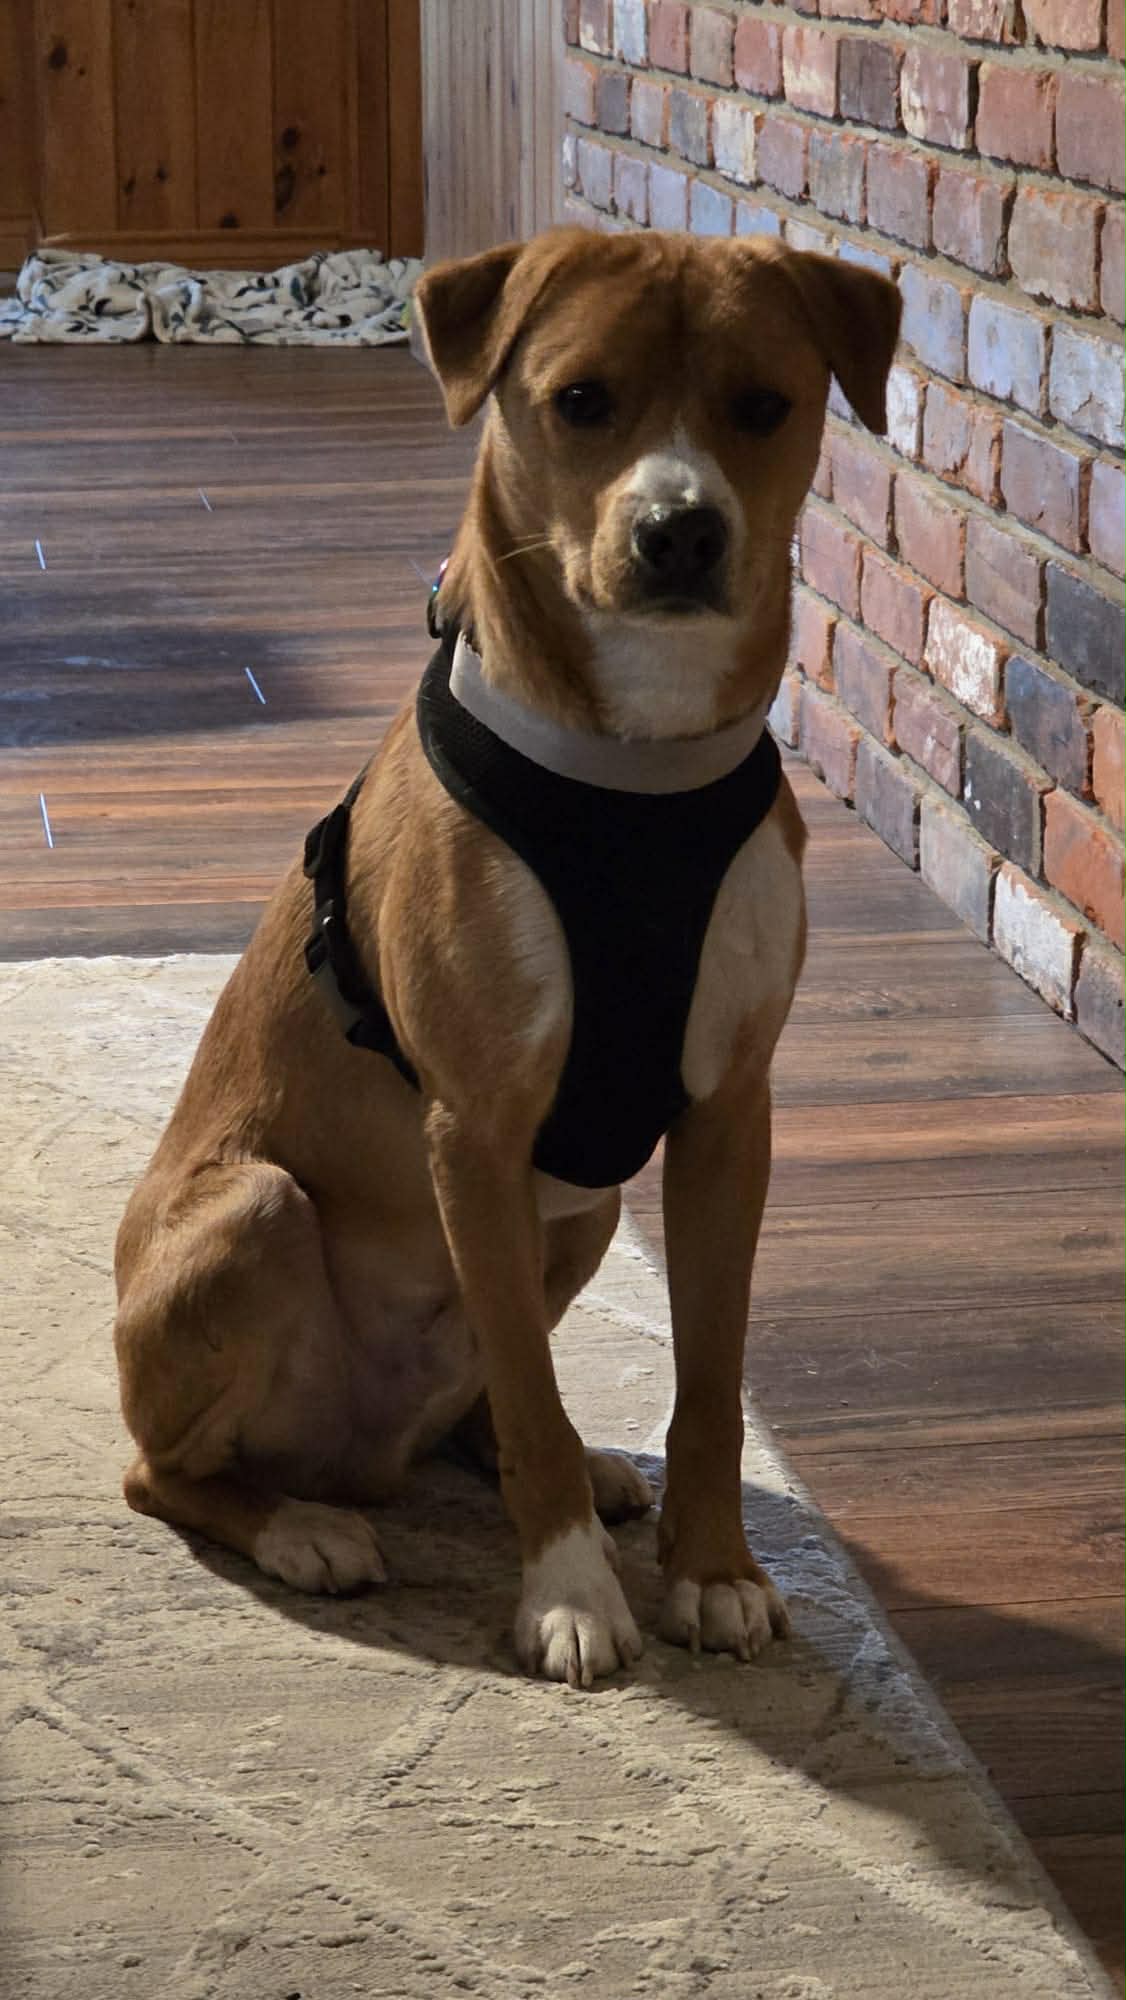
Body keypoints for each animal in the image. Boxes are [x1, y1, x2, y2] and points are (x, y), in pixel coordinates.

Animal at [113, 226, 901, 1687]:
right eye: (580, 400)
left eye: (762, 405)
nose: (679, 530)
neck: (633, 774)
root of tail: (365, 1454)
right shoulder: (474, 1132)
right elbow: (531, 1385)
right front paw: (570, 1595)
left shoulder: (728, 1117)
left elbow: (708, 1379)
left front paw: (711, 1570)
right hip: (254, 1214)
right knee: (166, 1471)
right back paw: (302, 1528)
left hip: (578, 1210)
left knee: (483, 1387)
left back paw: (570, 1469)